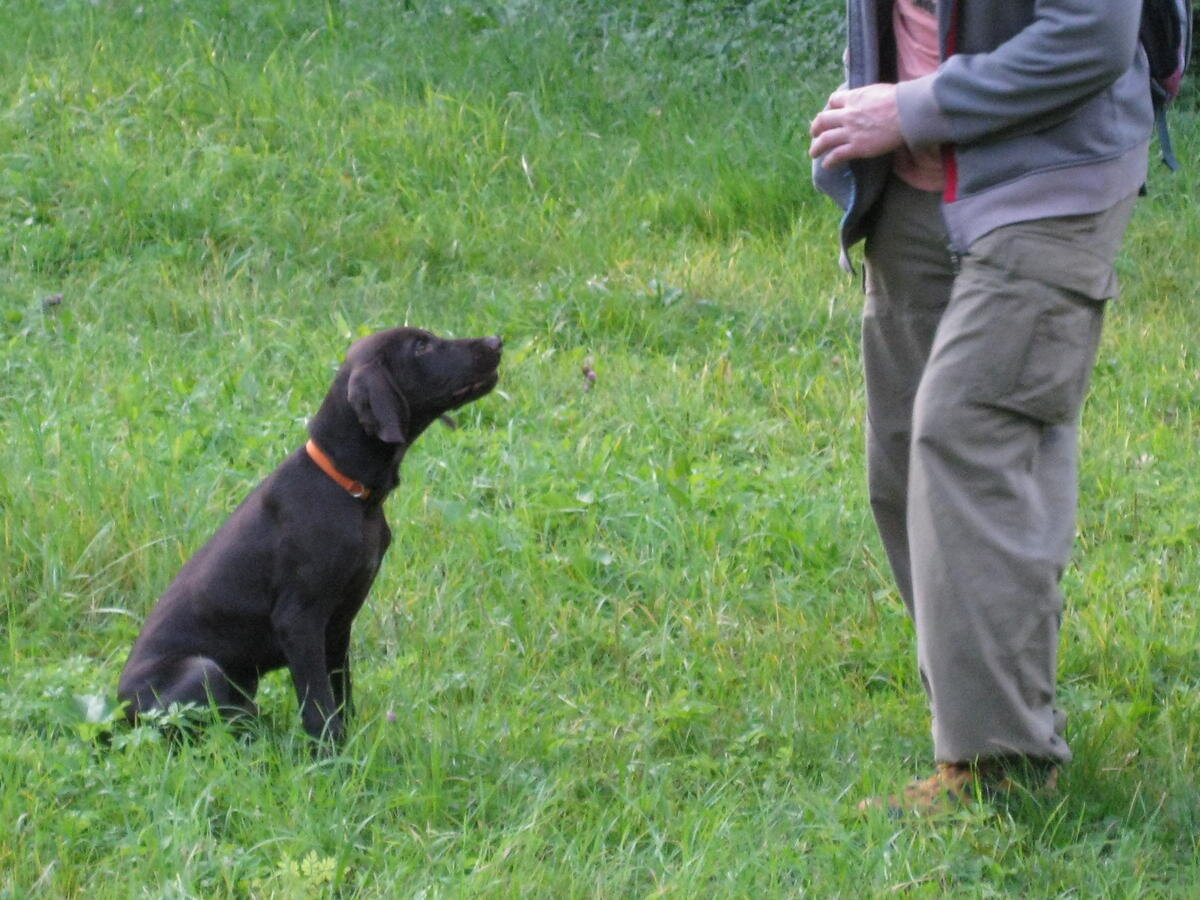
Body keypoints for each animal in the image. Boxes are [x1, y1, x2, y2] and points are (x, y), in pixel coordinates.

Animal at [118, 328, 501, 744]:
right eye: (421, 347)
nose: (496, 341)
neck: (348, 488)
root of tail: (118, 716)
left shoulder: (338, 624)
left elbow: (340, 694)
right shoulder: (299, 621)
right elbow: (318, 705)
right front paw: (332, 755)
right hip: (202, 671)